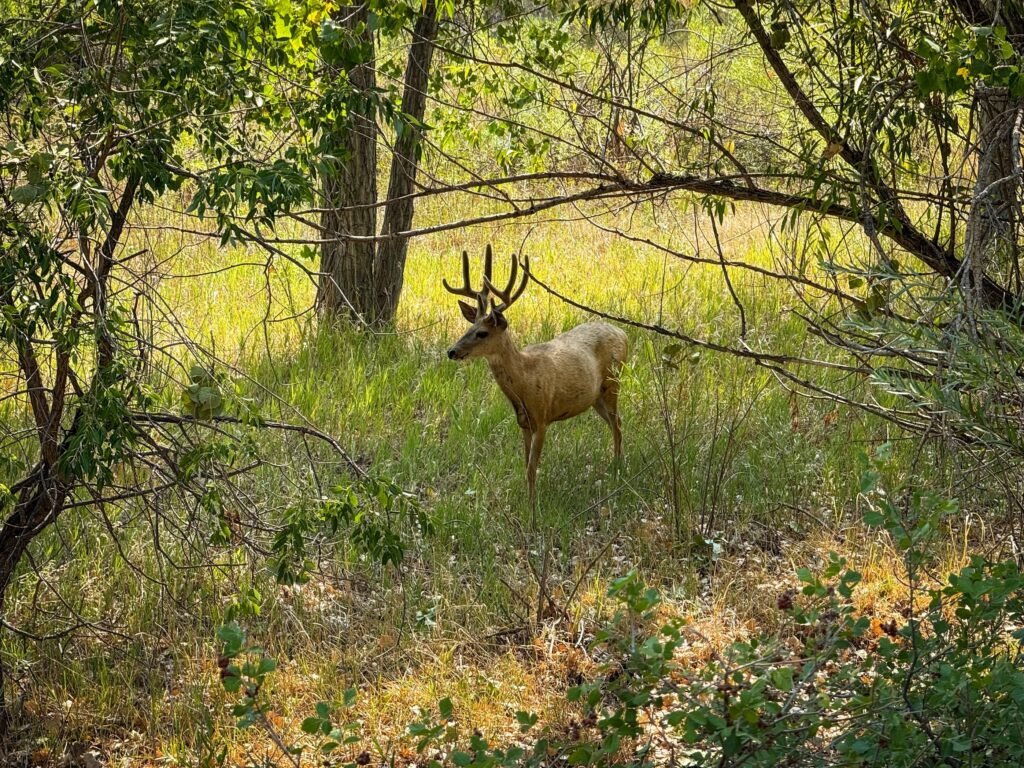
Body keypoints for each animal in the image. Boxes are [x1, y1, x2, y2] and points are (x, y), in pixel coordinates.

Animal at [444, 244, 628, 509]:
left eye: (482, 333)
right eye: (468, 328)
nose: (452, 351)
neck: (524, 382)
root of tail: (624, 333)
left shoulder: (542, 418)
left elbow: (532, 469)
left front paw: (533, 510)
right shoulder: (523, 423)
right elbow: (525, 466)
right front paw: (525, 503)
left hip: (613, 382)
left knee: (618, 423)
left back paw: (617, 471)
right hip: (595, 397)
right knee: (615, 422)